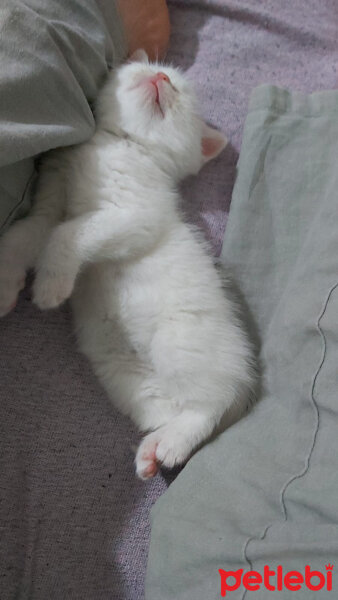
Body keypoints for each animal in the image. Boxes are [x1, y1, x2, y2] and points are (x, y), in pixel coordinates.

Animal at [0, 52, 255, 482]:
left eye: (179, 93)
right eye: (150, 70)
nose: (160, 78)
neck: (121, 141)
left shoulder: (133, 216)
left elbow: (69, 233)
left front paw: (50, 286)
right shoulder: (49, 206)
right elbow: (23, 235)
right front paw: (6, 283)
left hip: (179, 344)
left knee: (211, 403)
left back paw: (175, 441)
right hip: (124, 377)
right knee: (164, 409)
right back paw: (155, 449)